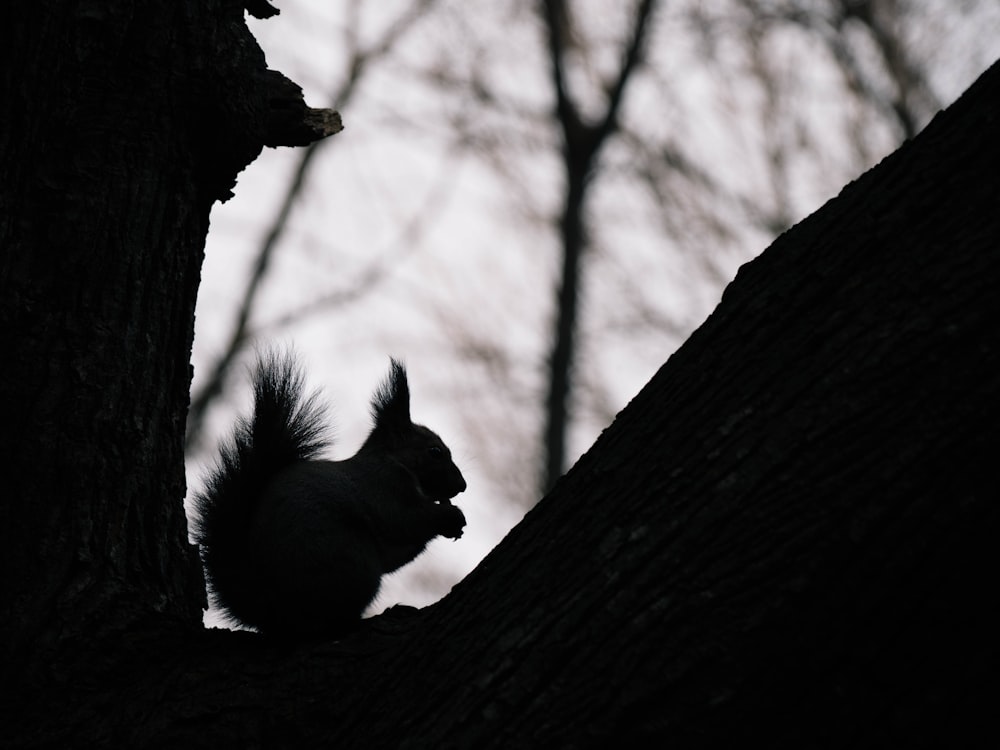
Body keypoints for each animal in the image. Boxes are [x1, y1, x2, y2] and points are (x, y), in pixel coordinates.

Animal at [192, 354, 468, 640]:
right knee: (334, 623)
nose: (462, 486)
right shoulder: (383, 488)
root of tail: (270, 610)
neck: (392, 460)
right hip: (353, 566)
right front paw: (450, 515)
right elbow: (405, 520)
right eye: (435, 451)